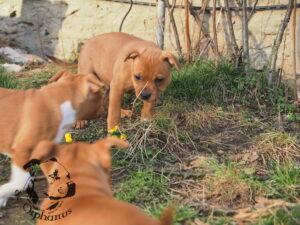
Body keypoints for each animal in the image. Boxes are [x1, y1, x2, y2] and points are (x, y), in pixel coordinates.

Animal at [48, 31, 180, 130]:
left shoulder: (151, 92)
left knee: (106, 102)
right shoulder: (117, 87)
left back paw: (124, 112)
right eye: (137, 77)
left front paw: (146, 118)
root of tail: (86, 45)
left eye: (159, 79)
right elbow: (114, 111)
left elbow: (149, 104)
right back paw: (81, 120)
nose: (144, 95)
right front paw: (113, 129)